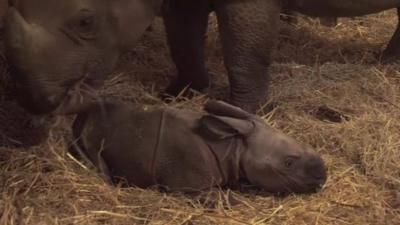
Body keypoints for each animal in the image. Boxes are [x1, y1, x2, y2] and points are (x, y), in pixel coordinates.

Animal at [3, 0, 400, 115]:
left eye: (85, 22)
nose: (32, 100)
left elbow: (243, 51)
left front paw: (239, 111)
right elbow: (183, 41)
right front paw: (177, 94)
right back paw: (387, 63)